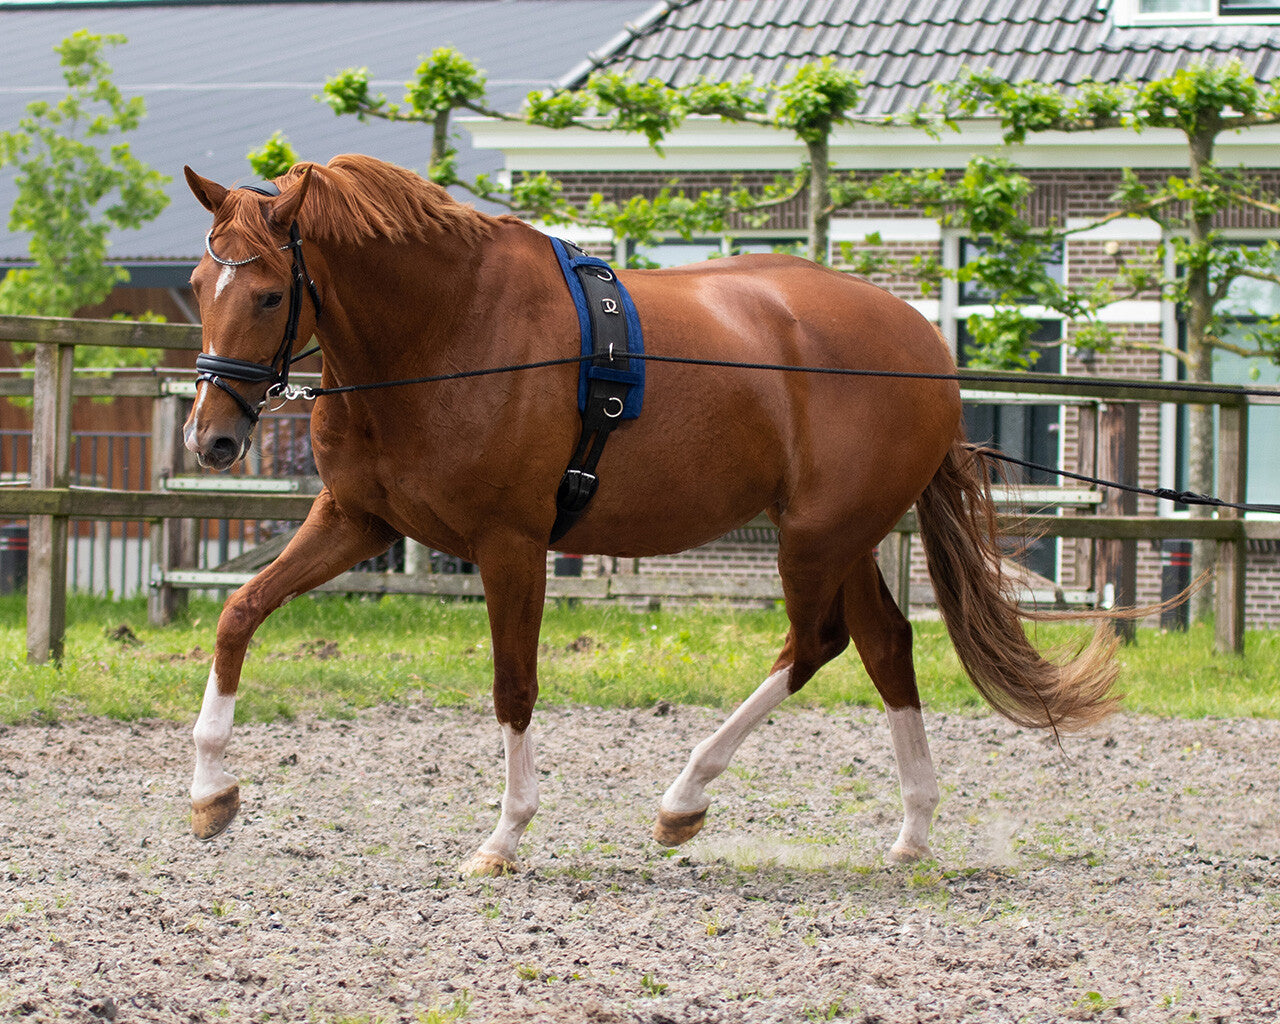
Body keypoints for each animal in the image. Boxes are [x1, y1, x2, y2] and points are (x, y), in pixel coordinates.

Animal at [183, 156, 1121, 875]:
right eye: (197, 283)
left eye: (269, 295)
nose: (212, 438)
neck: (446, 330)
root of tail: (925, 347)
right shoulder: (356, 521)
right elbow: (239, 614)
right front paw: (210, 792)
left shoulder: (511, 544)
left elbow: (514, 685)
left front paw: (503, 838)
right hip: (840, 536)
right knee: (885, 643)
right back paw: (913, 828)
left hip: (815, 539)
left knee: (816, 643)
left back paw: (684, 798)